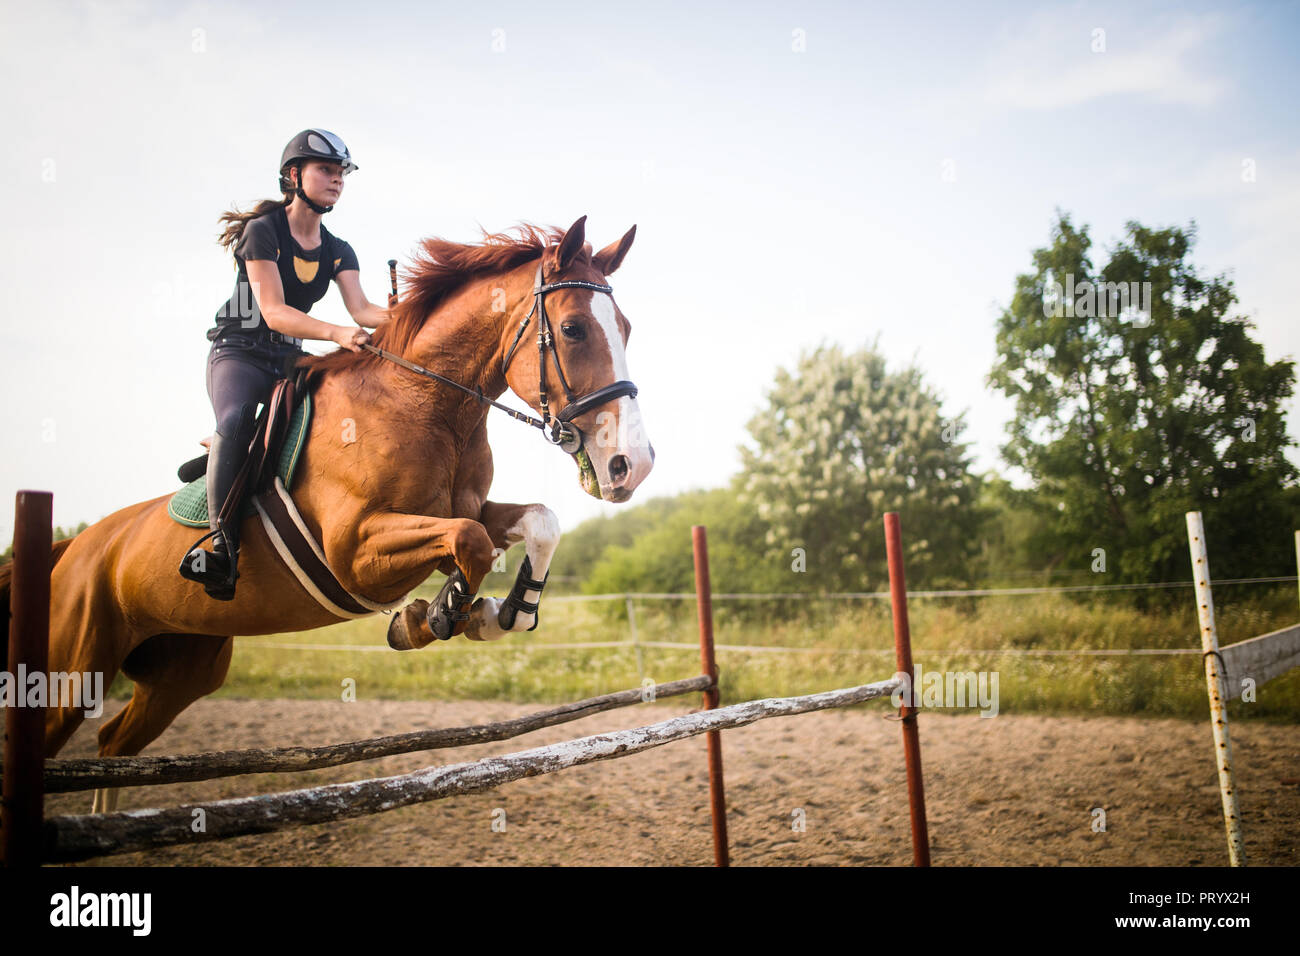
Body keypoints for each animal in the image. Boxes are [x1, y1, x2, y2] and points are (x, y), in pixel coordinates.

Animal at [0, 218, 650, 816]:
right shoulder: (354, 553)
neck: (428, 404)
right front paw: (431, 617)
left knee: (113, 743)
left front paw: (500, 612)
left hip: (182, 669)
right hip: (73, 667)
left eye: (625, 327)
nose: (632, 465)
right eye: (573, 328)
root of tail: (74, 548)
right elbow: (469, 544)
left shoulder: (466, 510)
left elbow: (536, 522)